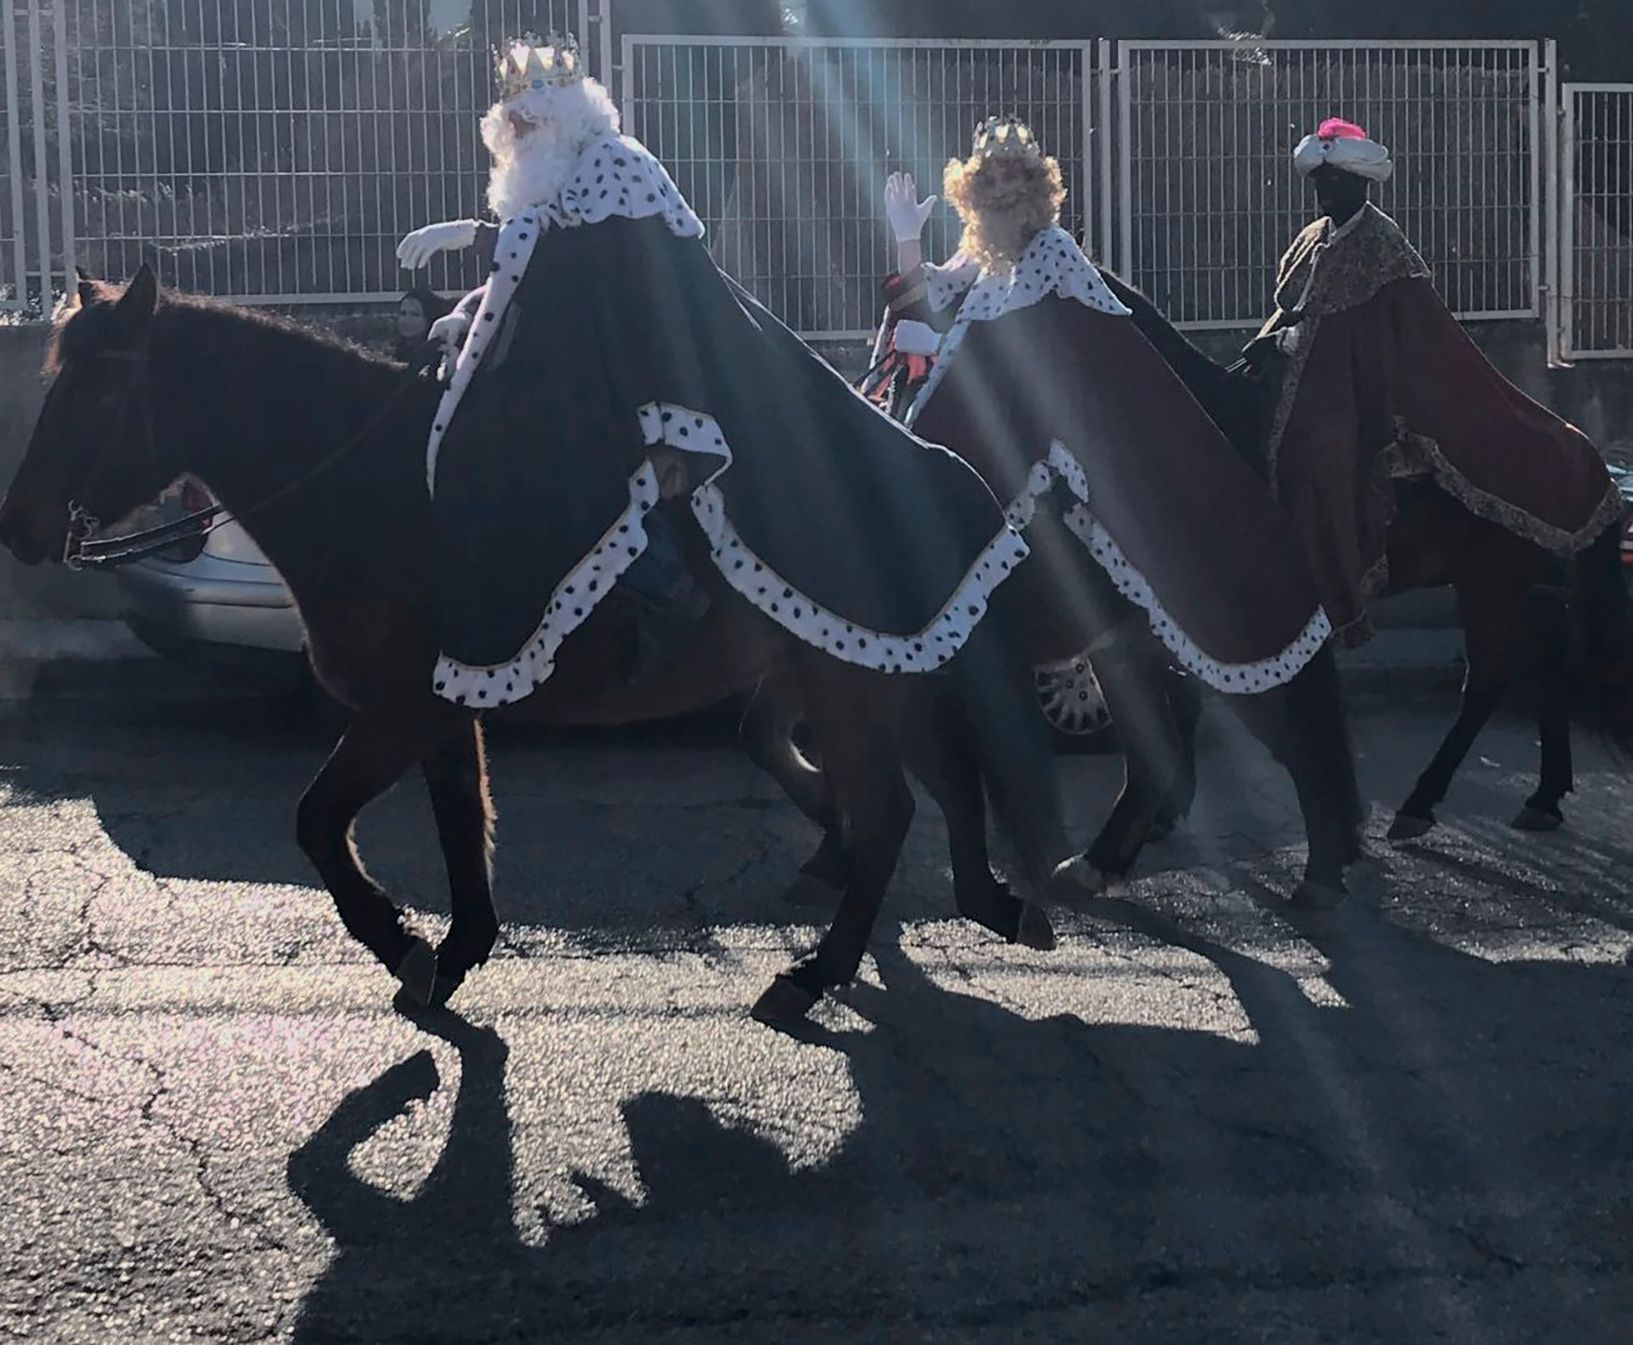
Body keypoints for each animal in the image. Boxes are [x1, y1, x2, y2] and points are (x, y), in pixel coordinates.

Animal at [3, 275, 1110, 1031]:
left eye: (91, 394)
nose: (21, 525)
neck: (376, 486)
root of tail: (918, 453)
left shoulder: (400, 708)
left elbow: (317, 820)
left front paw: (399, 940)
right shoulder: (438, 713)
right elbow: (461, 830)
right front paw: (451, 954)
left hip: (851, 680)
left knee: (889, 810)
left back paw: (816, 970)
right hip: (863, 673)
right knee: (932, 788)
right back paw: (976, 903)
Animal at [1097, 267, 1633, 835]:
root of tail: (1584, 451)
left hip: (1493, 581)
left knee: (1493, 677)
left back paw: (1425, 802)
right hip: (1503, 582)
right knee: (1544, 662)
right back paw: (1541, 796)